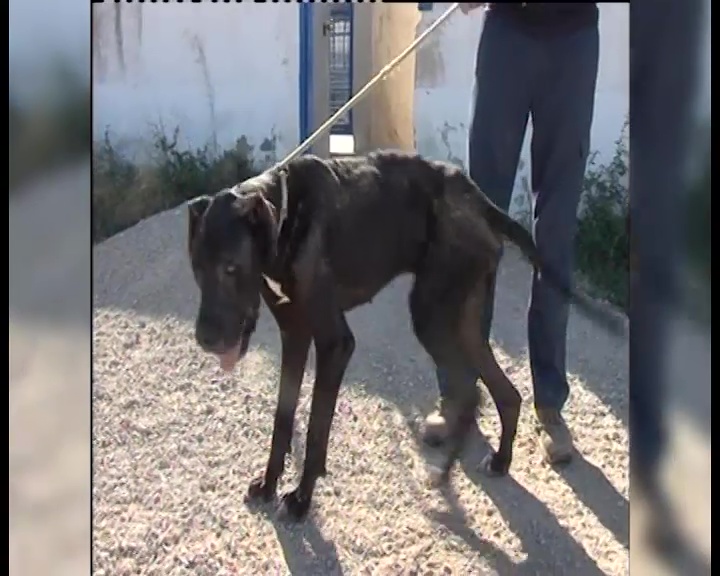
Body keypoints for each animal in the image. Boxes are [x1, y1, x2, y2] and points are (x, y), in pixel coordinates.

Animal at [187, 151, 624, 520]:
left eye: (231, 267)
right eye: (197, 268)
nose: (205, 339)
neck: (285, 215)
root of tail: (479, 199)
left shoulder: (334, 344)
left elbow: (314, 431)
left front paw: (302, 498)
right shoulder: (294, 334)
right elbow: (283, 420)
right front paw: (270, 483)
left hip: (431, 315)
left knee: (471, 393)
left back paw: (447, 474)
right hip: (461, 318)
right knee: (504, 393)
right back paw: (499, 461)